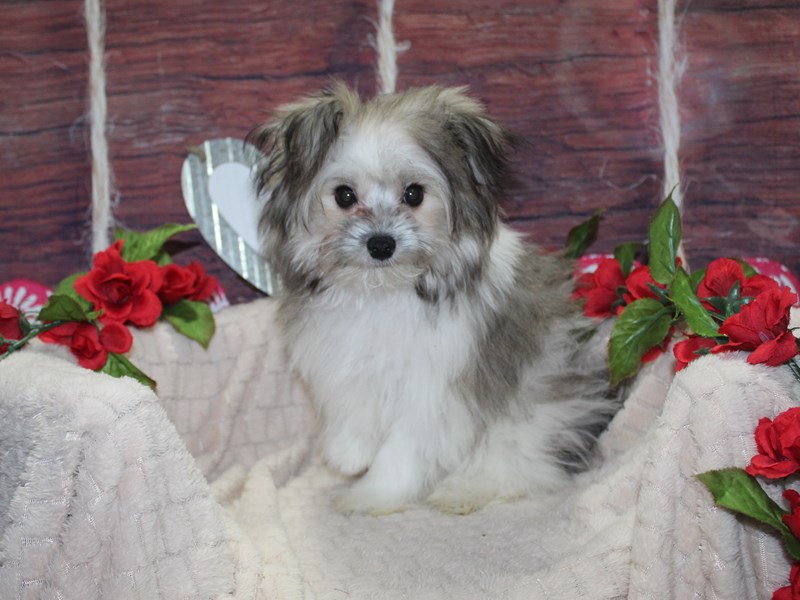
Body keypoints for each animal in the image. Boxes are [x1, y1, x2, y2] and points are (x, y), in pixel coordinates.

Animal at [249, 83, 615, 516]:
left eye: (413, 194)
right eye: (344, 195)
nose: (381, 243)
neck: (385, 290)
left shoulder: (432, 391)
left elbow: (403, 449)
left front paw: (374, 494)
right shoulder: (342, 359)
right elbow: (351, 405)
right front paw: (348, 453)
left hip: (537, 413)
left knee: (521, 465)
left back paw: (464, 490)